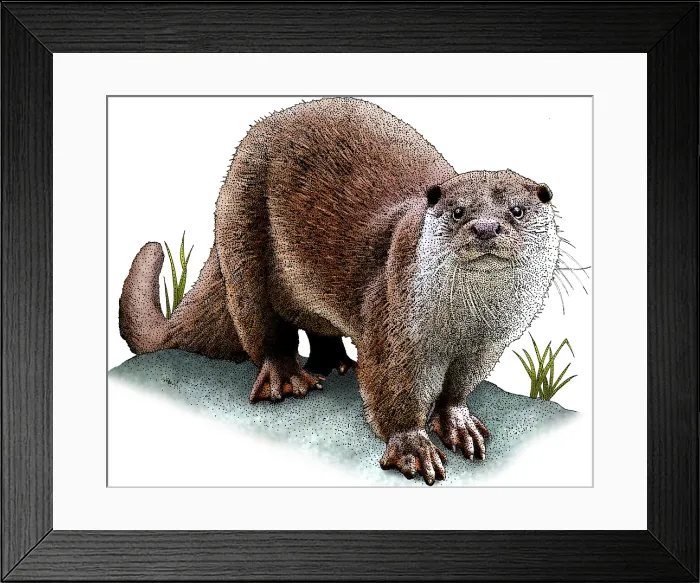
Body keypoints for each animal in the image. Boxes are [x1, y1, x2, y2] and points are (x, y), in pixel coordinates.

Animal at [119, 97, 560, 485]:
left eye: (516, 211)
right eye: (458, 212)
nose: (485, 228)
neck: (464, 323)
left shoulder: (486, 345)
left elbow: (459, 387)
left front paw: (459, 423)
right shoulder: (393, 318)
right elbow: (392, 386)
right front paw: (413, 446)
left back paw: (336, 362)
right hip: (242, 223)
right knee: (259, 323)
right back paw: (288, 377)